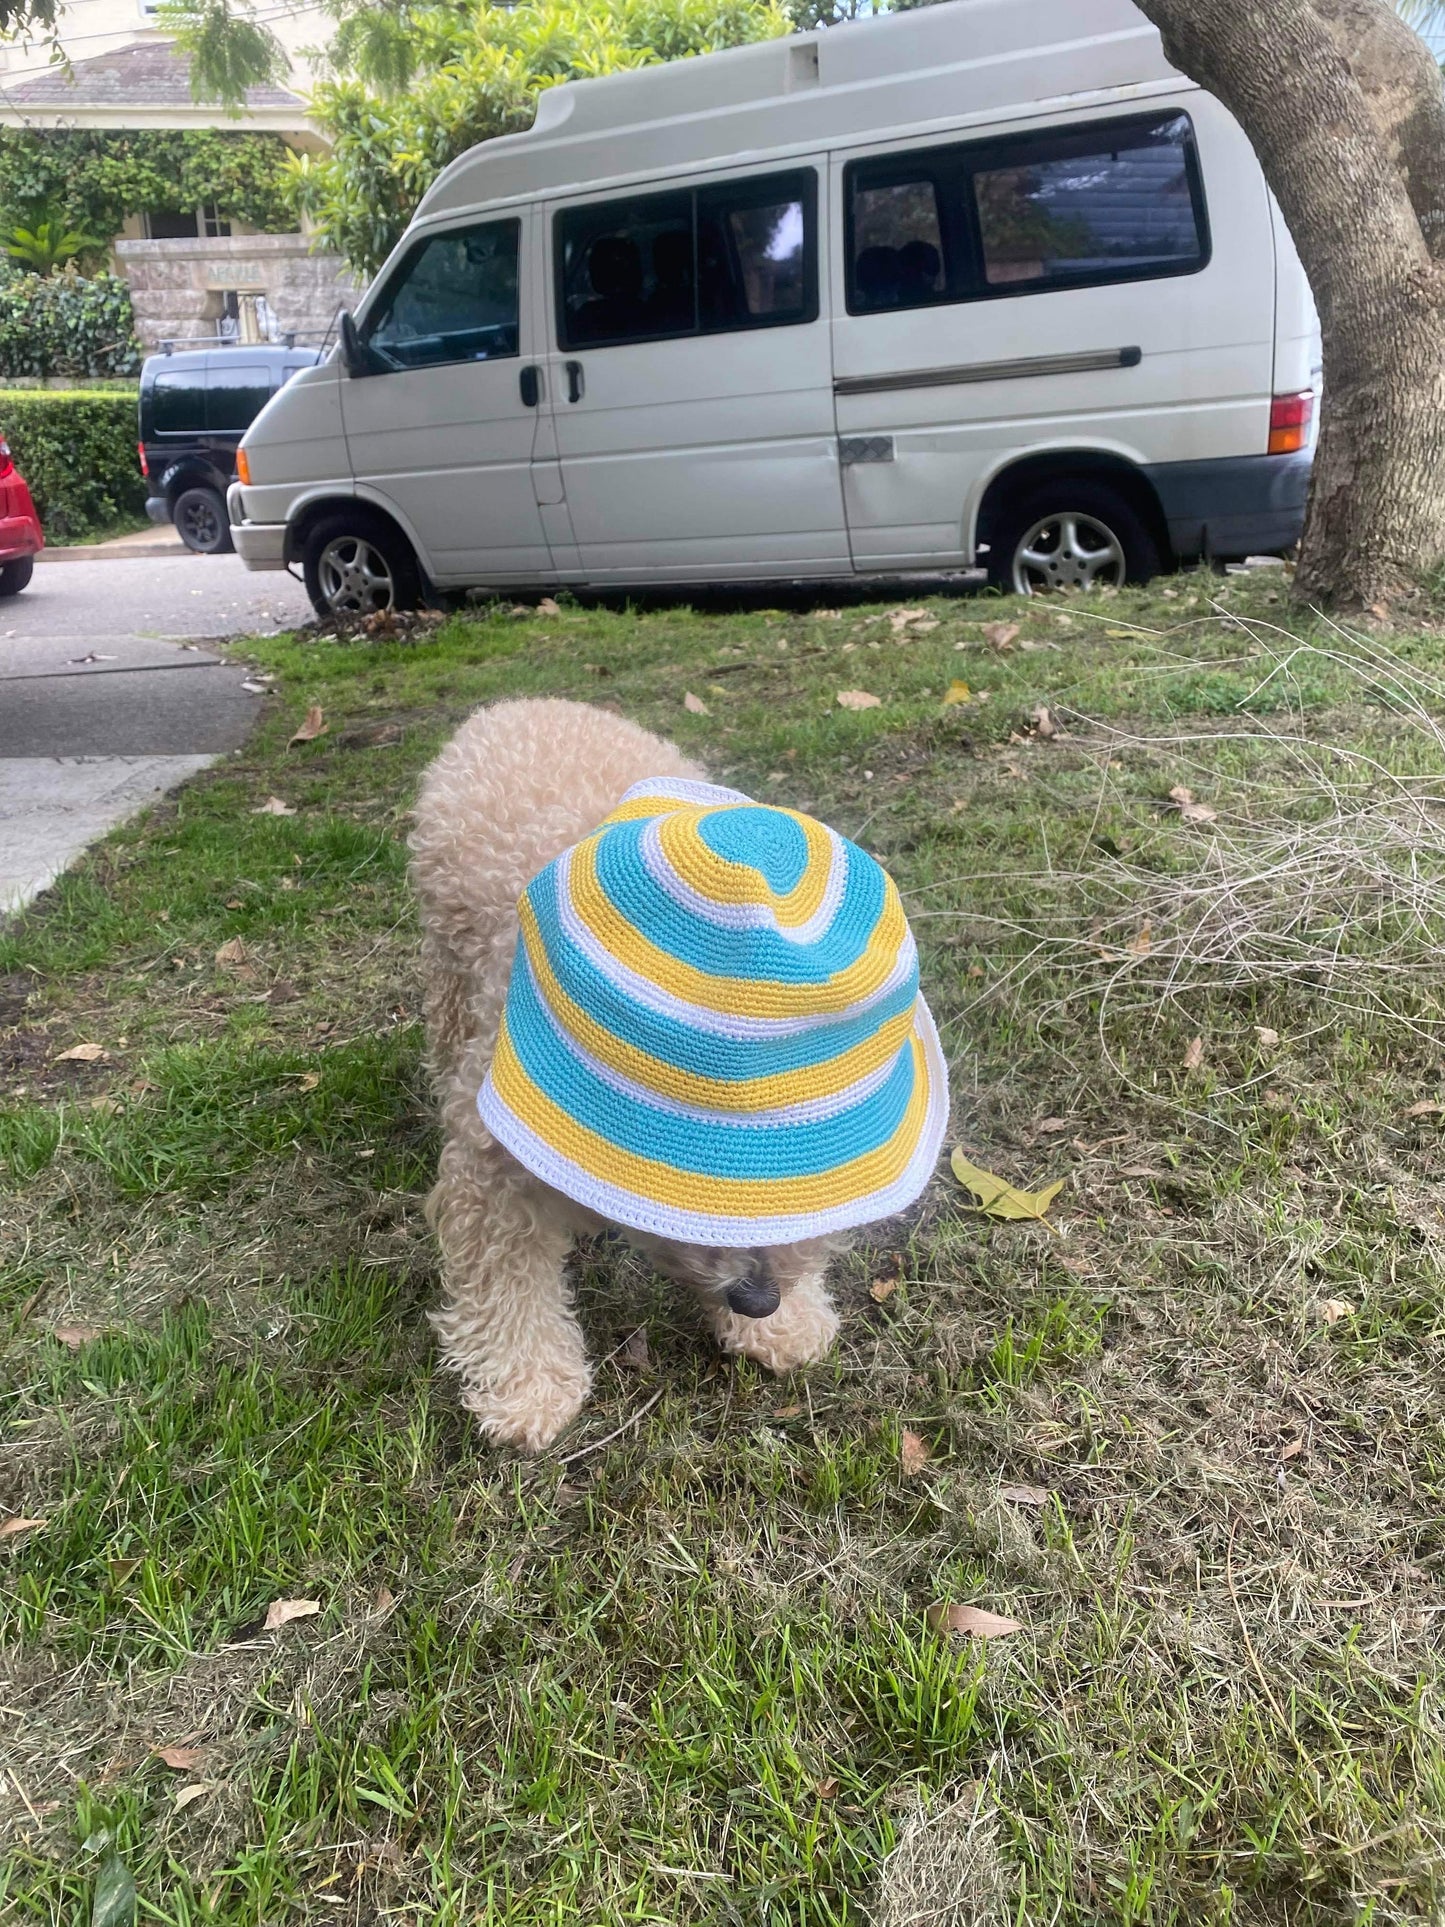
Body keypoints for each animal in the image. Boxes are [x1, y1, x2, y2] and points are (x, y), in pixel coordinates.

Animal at [410, 697, 951, 1449]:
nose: (758, 1298)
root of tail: (531, 700)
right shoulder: (494, 1158)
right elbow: (505, 1278)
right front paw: (527, 1388)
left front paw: (783, 1325)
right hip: (448, 959)